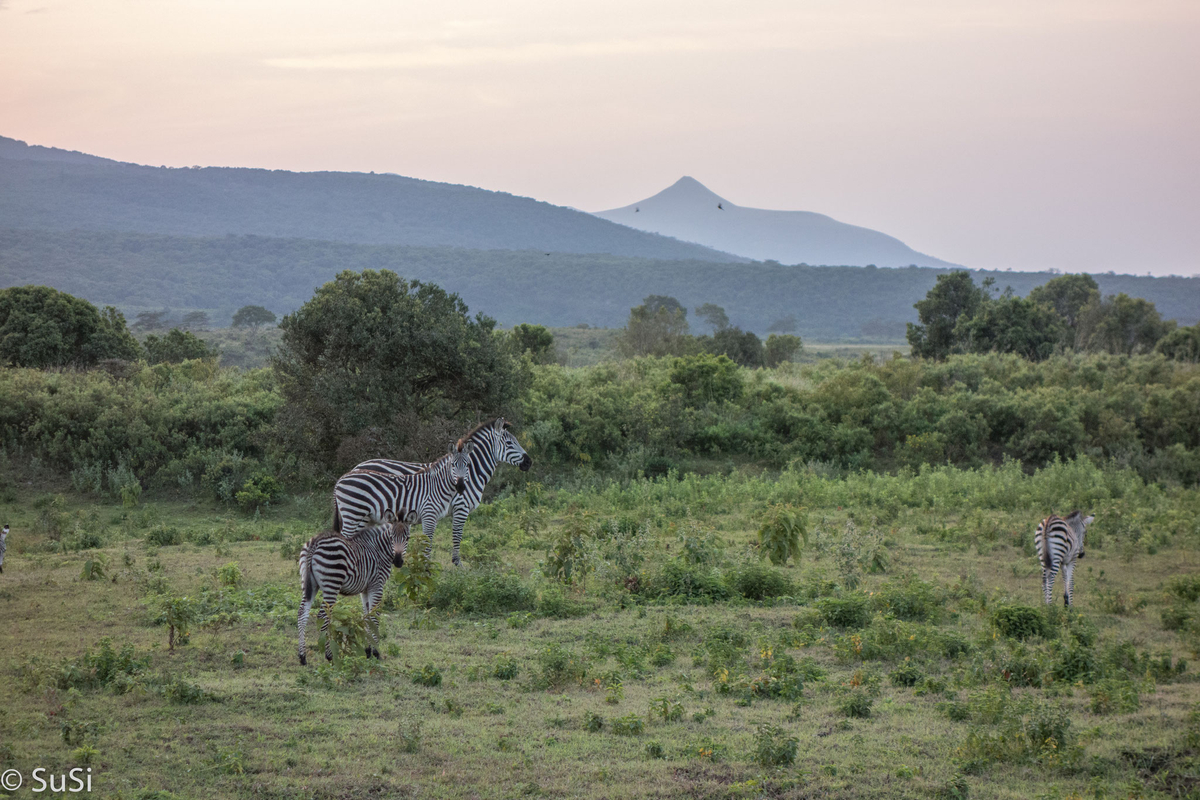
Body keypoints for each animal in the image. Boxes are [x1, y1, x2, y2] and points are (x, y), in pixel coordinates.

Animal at [295, 513, 417, 671]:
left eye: (407, 538)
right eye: (391, 537)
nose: (397, 561)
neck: (379, 550)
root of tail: (316, 541)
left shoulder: (365, 589)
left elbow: (366, 616)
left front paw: (367, 651)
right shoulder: (376, 586)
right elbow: (374, 617)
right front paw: (376, 652)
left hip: (310, 584)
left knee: (302, 613)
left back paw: (302, 657)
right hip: (331, 584)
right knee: (323, 616)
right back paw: (329, 656)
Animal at [336, 438, 475, 544]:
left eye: (468, 465)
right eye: (453, 465)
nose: (461, 486)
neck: (437, 486)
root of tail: (341, 479)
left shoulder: (433, 518)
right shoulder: (428, 515)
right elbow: (427, 544)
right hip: (353, 513)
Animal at [350, 417, 530, 566]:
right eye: (510, 444)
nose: (529, 462)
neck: (470, 472)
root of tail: (356, 467)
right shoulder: (461, 507)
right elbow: (457, 536)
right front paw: (458, 566)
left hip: (367, 516)